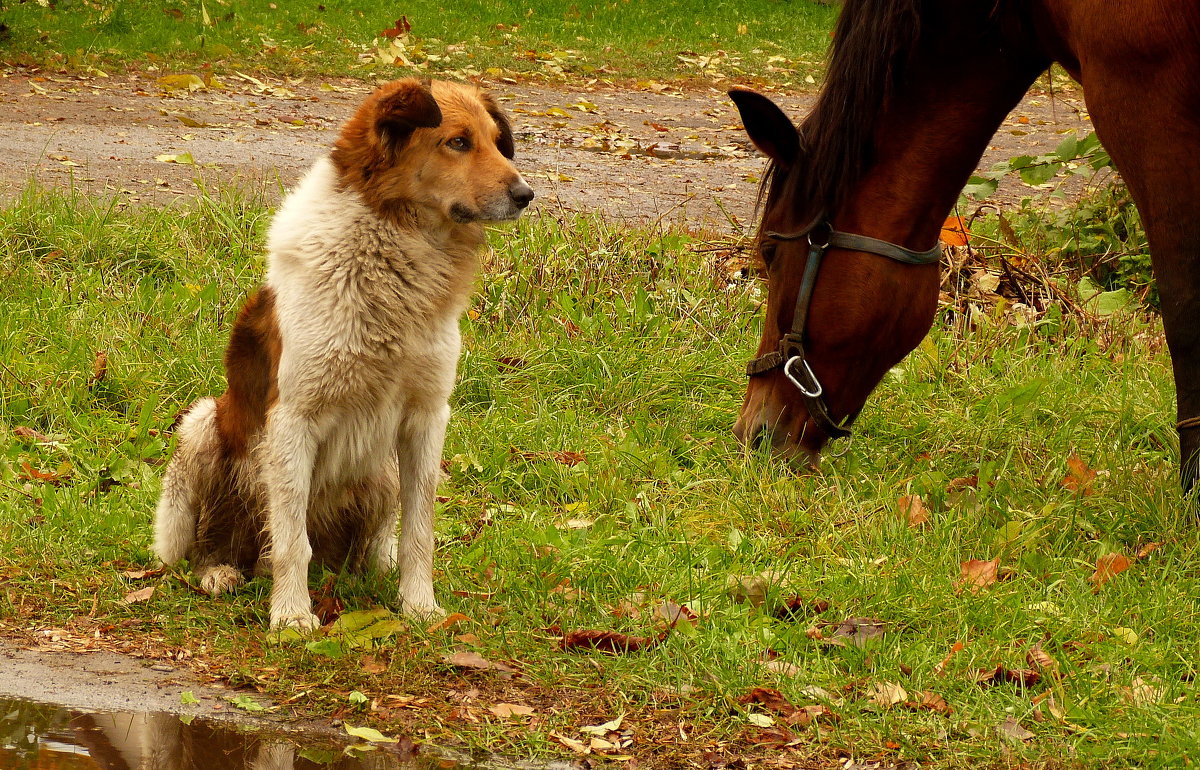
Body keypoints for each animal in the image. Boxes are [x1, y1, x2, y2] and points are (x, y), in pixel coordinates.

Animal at [151, 79, 535, 628]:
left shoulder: (426, 417)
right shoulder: (293, 418)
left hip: (383, 473)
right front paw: (291, 616)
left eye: (495, 142)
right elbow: (292, 540)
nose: (527, 195)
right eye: (458, 142)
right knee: (212, 543)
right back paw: (220, 571)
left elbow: (420, 532)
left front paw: (419, 607)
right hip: (203, 425)